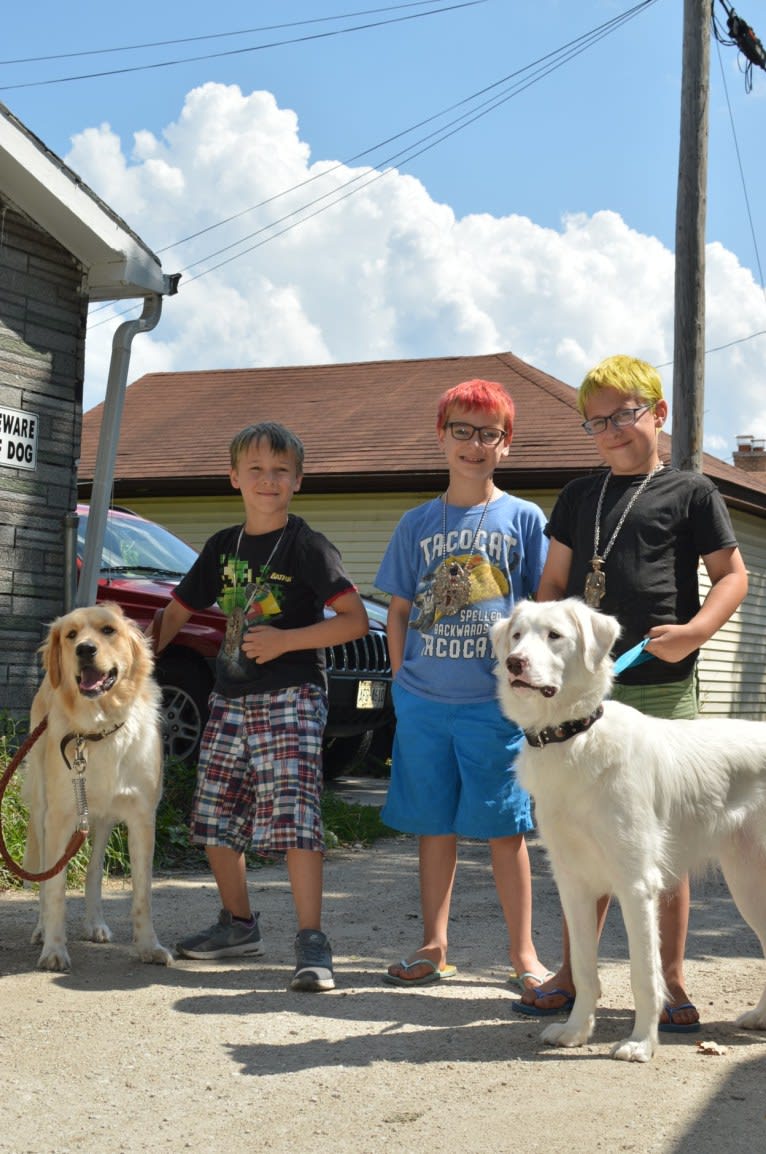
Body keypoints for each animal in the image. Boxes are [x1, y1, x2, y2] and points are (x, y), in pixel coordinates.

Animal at [21, 604, 173, 973]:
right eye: (71, 635)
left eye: (108, 631)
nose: (84, 650)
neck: (100, 729)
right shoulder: (59, 818)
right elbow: (56, 888)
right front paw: (54, 948)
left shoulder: (141, 818)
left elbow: (142, 893)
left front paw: (148, 946)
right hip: (43, 811)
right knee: (45, 873)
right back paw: (41, 929)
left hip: (101, 820)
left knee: (93, 870)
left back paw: (94, 923)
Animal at [491, 600, 765, 1057]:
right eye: (516, 636)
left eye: (554, 635)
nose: (515, 663)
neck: (574, 737)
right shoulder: (574, 883)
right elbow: (584, 968)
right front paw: (575, 1031)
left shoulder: (636, 883)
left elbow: (644, 976)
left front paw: (640, 1043)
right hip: (746, 882)